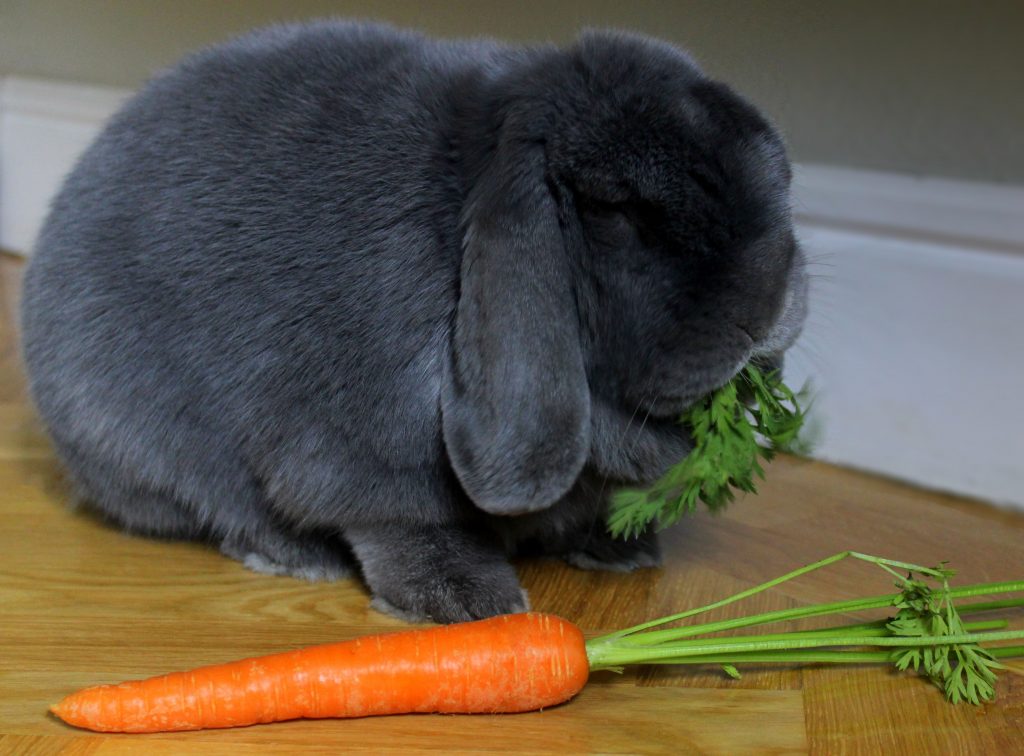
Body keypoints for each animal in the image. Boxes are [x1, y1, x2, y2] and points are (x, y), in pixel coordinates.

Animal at [19, 20, 806, 622]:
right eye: (621, 210)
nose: (771, 303)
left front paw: (619, 547)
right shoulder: (362, 452)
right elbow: (410, 521)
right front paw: (465, 601)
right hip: (138, 437)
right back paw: (293, 554)